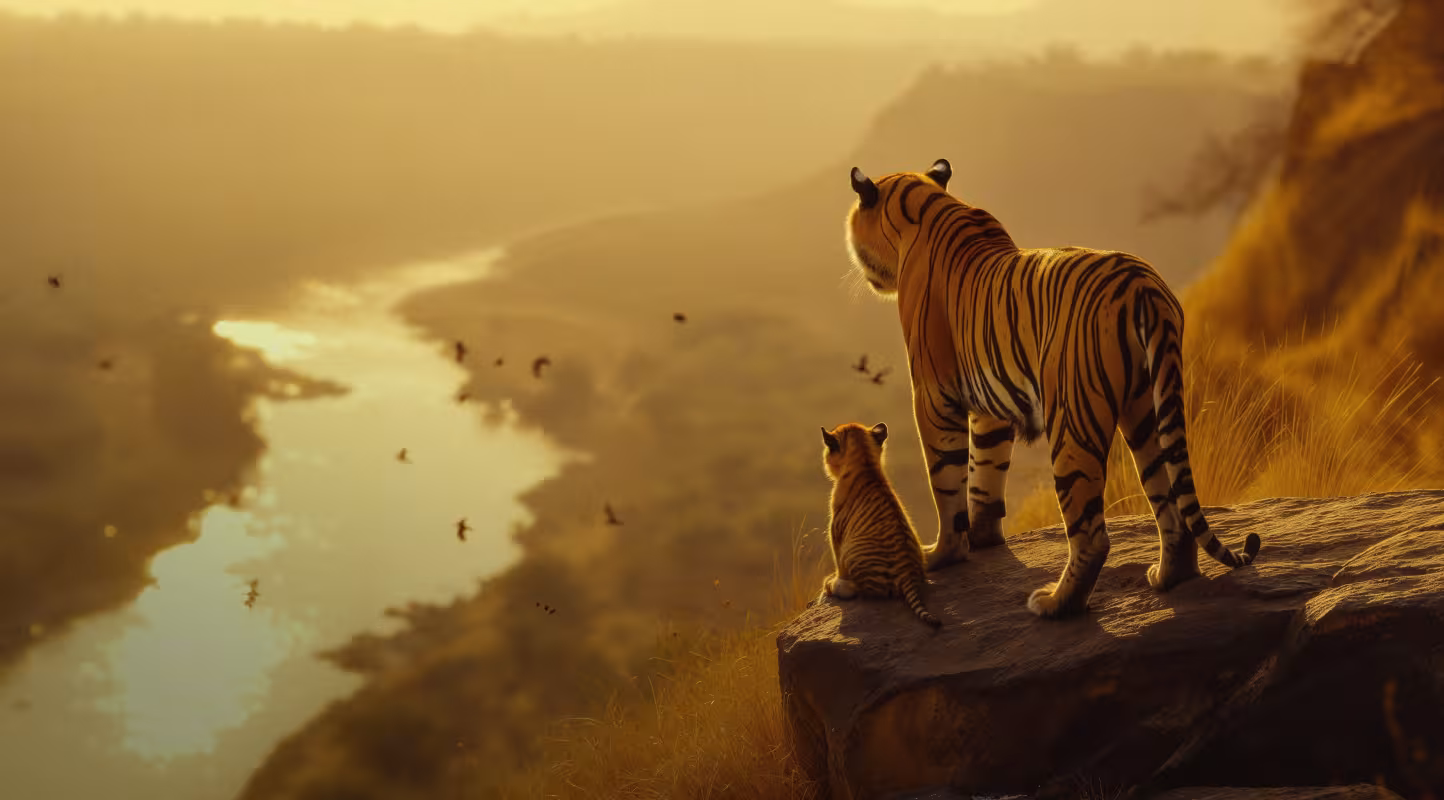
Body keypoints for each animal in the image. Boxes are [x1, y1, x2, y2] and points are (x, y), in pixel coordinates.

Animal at [817, 421, 941, 628]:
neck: (866, 463)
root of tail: (908, 575)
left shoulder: (835, 532)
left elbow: (838, 563)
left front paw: (833, 580)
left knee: (854, 590)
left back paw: (830, 584)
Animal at [843, 158, 1261, 619]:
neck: (924, 204)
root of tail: (1143, 287)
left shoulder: (935, 394)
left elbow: (947, 481)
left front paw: (942, 555)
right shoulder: (989, 405)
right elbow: (985, 470)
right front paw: (985, 537)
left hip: (1073, 421)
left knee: (1092, 535)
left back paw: (1054, 604)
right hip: (1148, 409)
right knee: (1171, 505)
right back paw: (1169, 577)